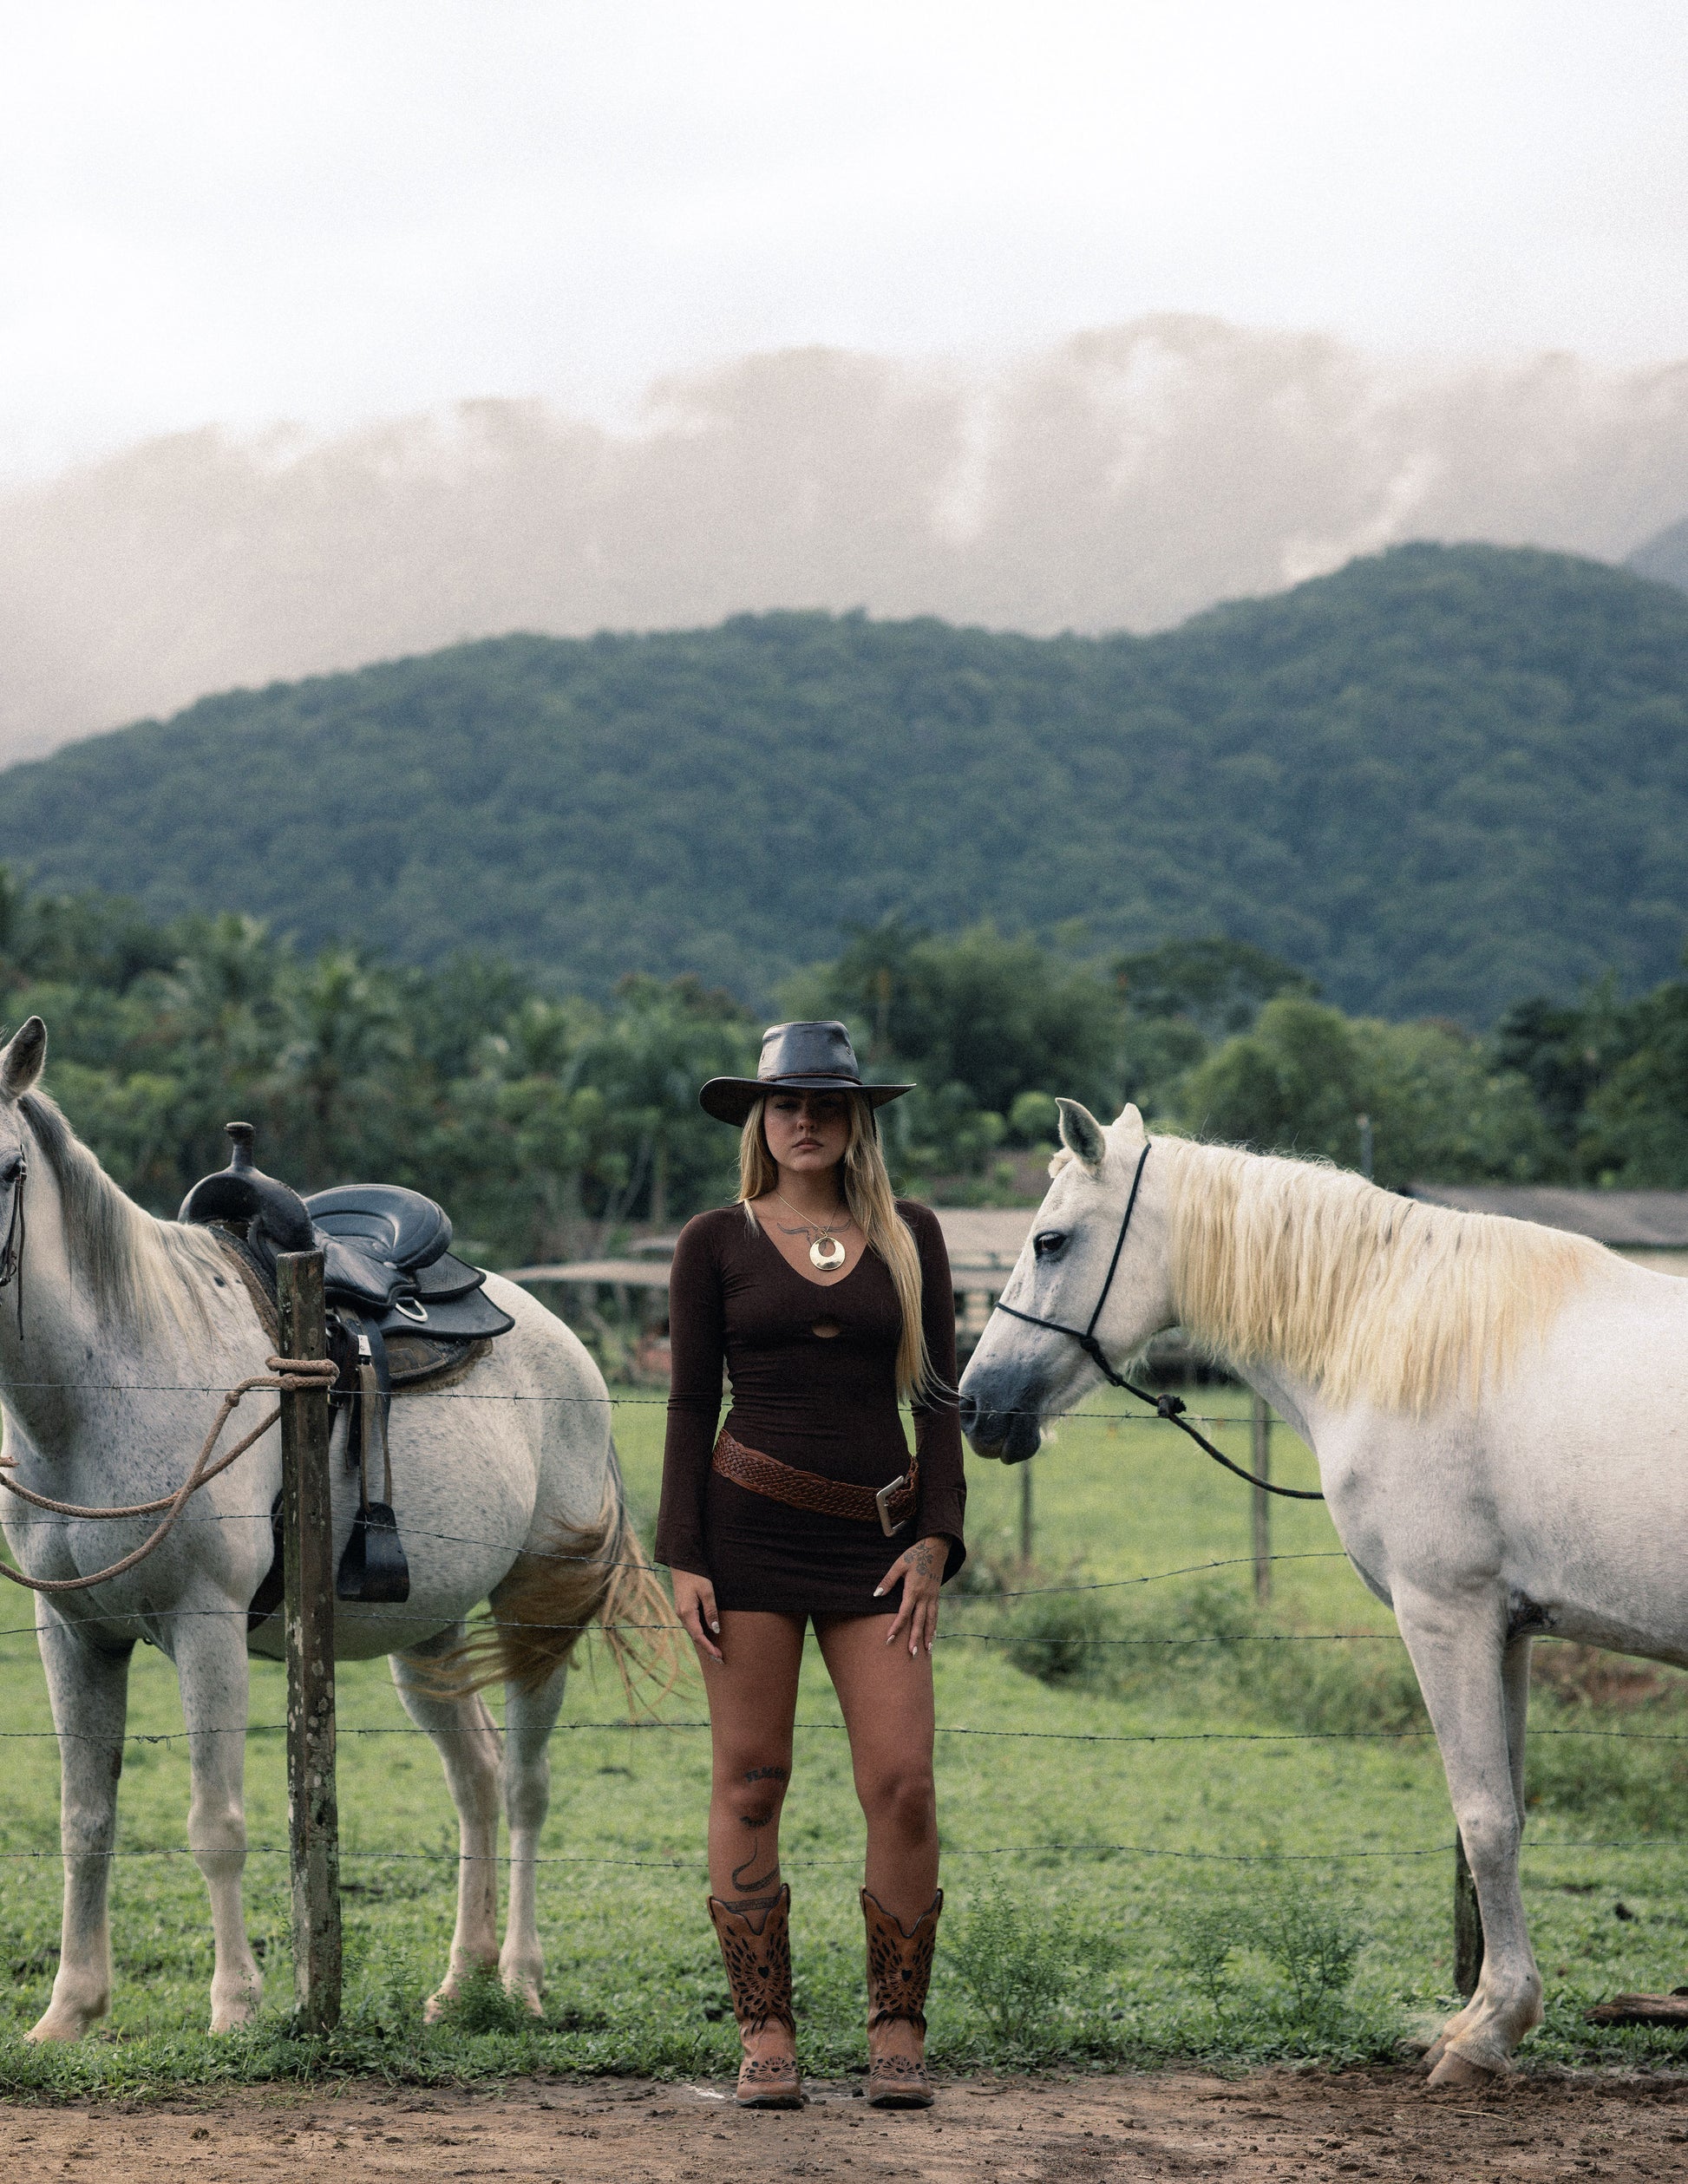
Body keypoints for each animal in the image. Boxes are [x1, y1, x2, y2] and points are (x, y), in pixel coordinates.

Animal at [0, 1017, 670, 2042]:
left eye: (6, 1169)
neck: (112, 1375)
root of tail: (567, 1347)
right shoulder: (72, 1632)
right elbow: (85, 1820)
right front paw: (68, 2012)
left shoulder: (205, 1625)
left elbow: (217, 1823)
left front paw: (236, 2008)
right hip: (427, 1632)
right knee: (476, 1776)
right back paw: (461, 1982)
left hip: (533, 1615)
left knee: (524, 1784)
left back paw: (519, 1979)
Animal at [957, 1096, 1688, 2087]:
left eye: (1050, 1242)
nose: (972, 1405)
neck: (1402, 1331)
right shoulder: (1508, 1630)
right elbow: (1503, 1814)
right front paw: (1485, 2017)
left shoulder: (1444, 1614)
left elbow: (1484, 1820)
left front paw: (1485, 2031)